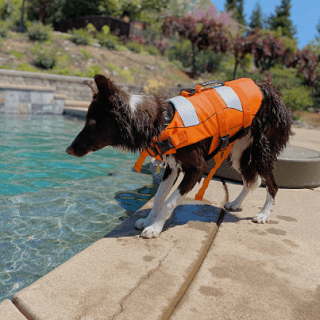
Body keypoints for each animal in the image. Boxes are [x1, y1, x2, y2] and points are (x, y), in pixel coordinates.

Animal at [67, 75, 292, 239]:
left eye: (92, 123)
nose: (68, 150)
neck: (162, 122)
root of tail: (270, 90)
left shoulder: (197, 169)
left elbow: (169, 202)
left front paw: (155, 228)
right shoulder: (171, 167)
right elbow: (158, 198)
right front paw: (148, 221)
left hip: (261, 150)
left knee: (272, 184)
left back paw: (263, 214)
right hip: (238, 152)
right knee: (252, 181)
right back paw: (236, 203)